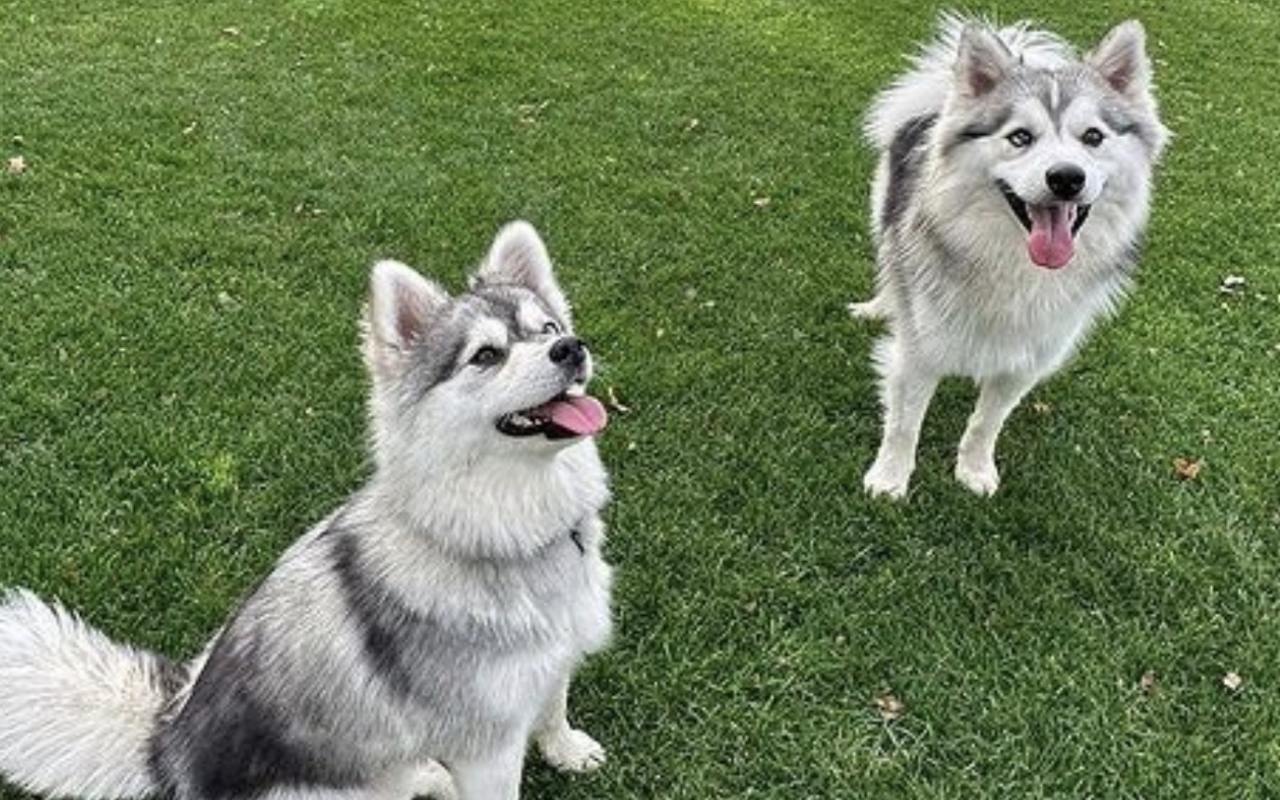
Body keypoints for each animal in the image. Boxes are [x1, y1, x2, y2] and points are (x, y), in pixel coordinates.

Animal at [0, 221, 614, 798]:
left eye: (548, 328)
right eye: (486, 356)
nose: (571, 347)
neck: (515, 528)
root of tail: (168, 750)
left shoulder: (552, 664)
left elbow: (554, 706)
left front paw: (565, 749)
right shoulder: (486, 745)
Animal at [849, 15, 1172, 496]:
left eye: (1093, 137)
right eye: (1020, 137)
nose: (1066, 178)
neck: (1016, 267)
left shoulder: (1026, 363)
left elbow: (987, 422)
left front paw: (974, 469)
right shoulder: (919, 352)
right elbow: (905, 424)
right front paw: (890, 479)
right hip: (883, 215)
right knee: (890, 268)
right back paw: (877, 307)